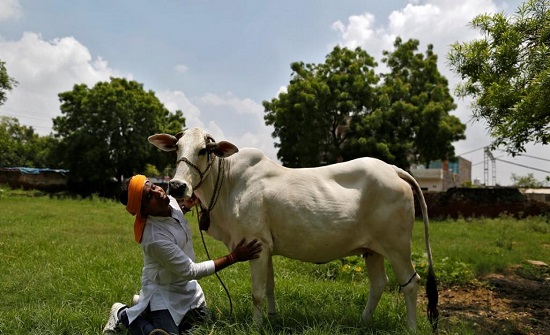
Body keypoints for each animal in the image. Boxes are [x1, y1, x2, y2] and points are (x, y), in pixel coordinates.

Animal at [148, 128, 440, 330]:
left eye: (203, 150)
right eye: (177, 148)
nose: (177, 186)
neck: (229, 183)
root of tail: (393, 169)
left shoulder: (255, 244)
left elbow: (257, 293)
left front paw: (256, 326)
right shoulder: (265, 248)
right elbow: (269, 288)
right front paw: (272, 318)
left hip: (397, 246)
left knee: (410, 283)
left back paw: (410, 328)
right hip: (372, 250)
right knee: (379, 284)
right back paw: (363, 322)